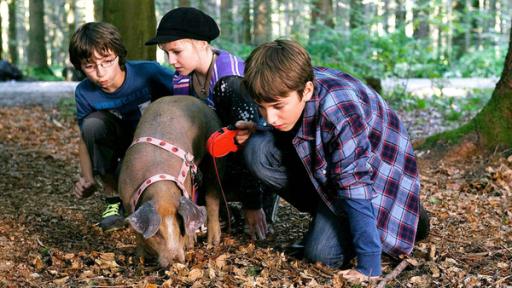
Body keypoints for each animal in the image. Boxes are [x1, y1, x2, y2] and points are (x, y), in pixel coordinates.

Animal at [118, 95, 222, 266]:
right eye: (157, 233)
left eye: (180, 227)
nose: (175, 259)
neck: (161, 188)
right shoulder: (127, 199)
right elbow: (137, 232)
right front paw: (139, 258)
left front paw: (189, 245)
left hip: (213, 155)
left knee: (212, 198)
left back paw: (213, 242)